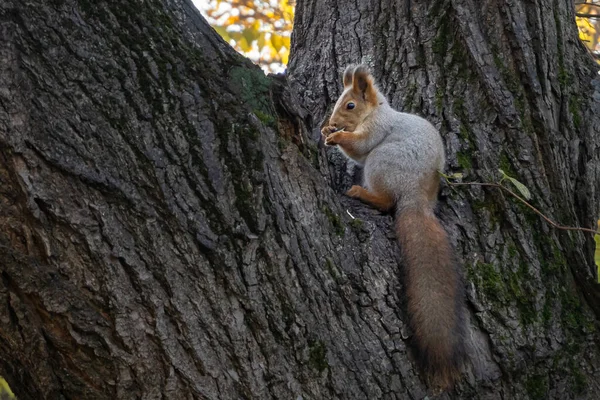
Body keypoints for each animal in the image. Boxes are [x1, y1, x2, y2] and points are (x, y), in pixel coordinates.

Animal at [322, 64, 466, 390]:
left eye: (350, 105)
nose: (333, 123)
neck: (376, 111)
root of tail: (416, 197)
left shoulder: (377, 129)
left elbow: (359, 146)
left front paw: (335, 137)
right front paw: (327, 131)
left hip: (382, 162)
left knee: (387, 201)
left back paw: (362, 193)